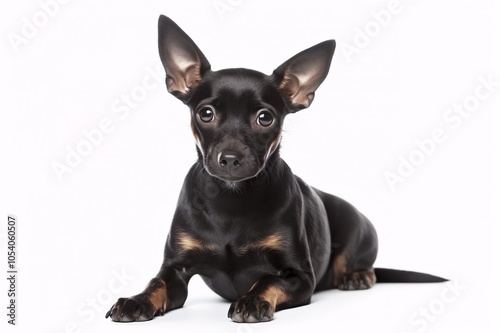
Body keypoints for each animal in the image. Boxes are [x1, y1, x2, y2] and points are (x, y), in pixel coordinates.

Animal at [106, 15, 446, 322]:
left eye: (264, 118)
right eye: (206, 113)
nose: (230, 158)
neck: (231, 200)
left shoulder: (299, 277)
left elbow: (268, 278)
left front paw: (252, 300)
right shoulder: (176, 269)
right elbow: (157, 284)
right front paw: (136, 300)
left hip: (356, 228)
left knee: (358, 264)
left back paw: (358, 275)